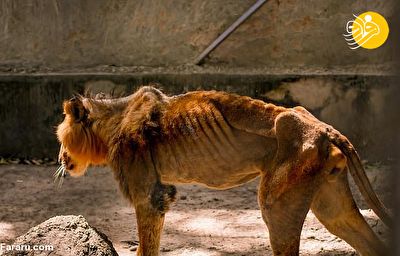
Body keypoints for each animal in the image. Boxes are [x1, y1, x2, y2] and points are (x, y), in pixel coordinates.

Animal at [55, 86, 390, 256]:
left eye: (60, 139)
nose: (60, 157)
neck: (113, 119)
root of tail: (324, 128)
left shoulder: (149, 196)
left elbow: (146, 247)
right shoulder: (160, 195)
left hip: (275, 204)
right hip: (332, 206)